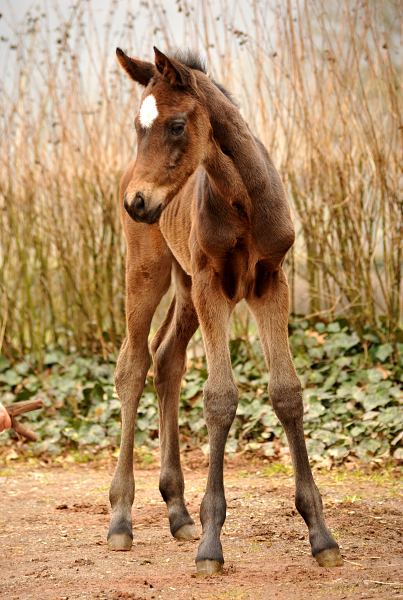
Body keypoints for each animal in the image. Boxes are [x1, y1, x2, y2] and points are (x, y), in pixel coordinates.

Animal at [108, 44, 344, 576]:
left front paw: (321, 536)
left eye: (176, 125)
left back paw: (177, 513)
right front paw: (212, 543)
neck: (242, 200)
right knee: (133, 364)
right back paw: (121, 519)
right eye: (136, 125)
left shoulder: (269, 282)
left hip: (185, 286)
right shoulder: (214, 285)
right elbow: (220, 398)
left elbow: (287, 392)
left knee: (167, 360)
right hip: (150, 270)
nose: (137, 202)